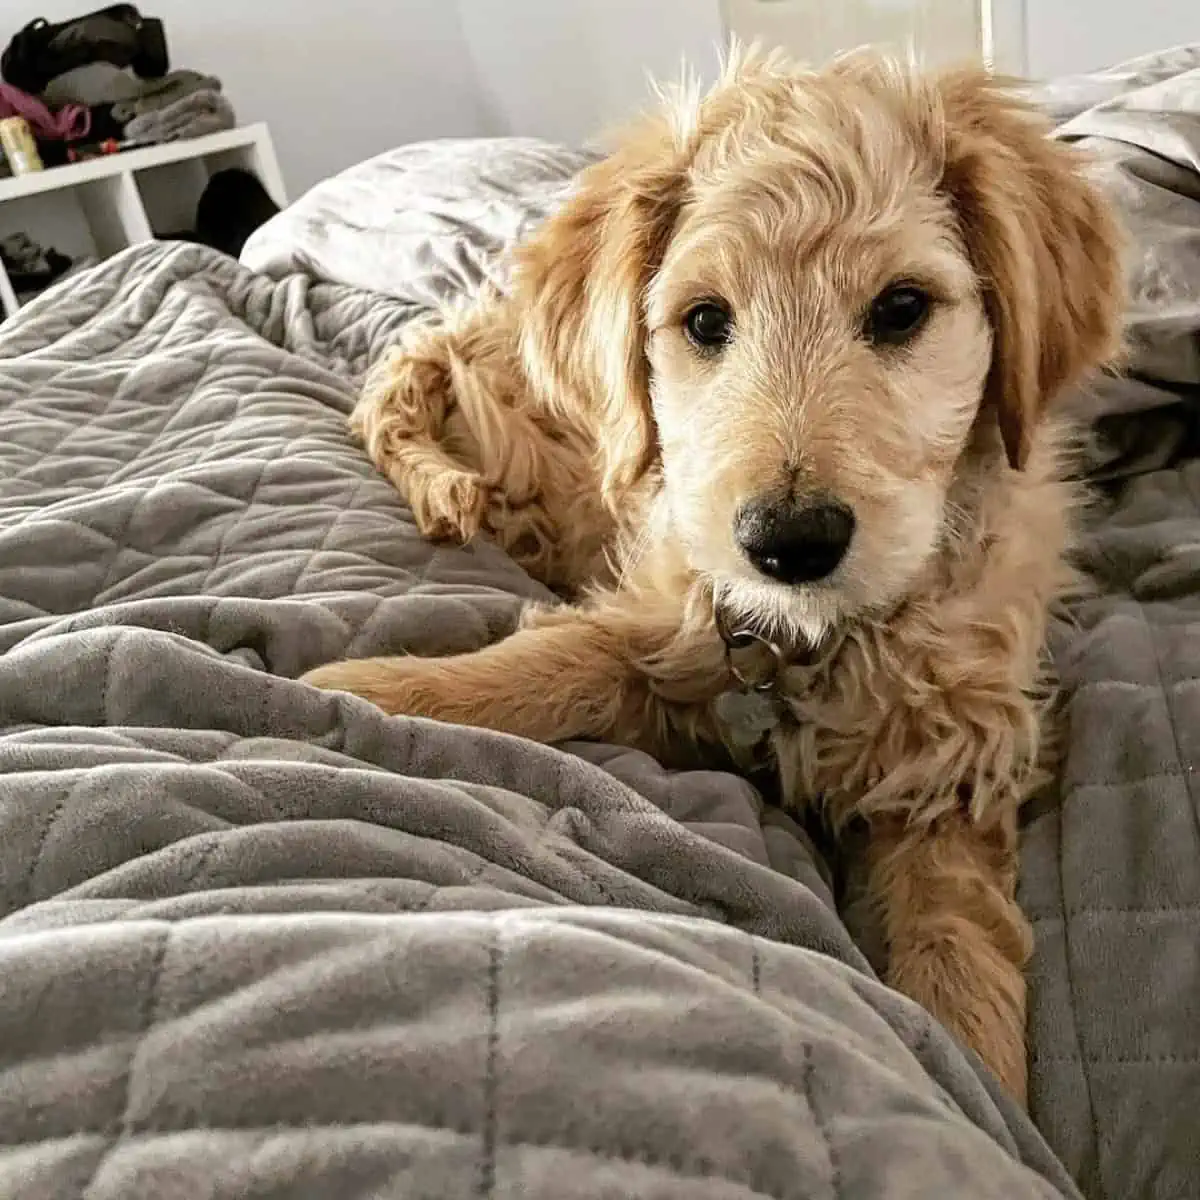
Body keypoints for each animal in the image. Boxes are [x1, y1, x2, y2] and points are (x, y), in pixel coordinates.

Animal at [302, 46, 1123, 1099]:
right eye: (704, 321)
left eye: (903, 308)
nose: (789, 541)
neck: (813, 643)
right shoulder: (669, 606)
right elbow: (554, 661)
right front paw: (362, 692)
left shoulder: (953, 761)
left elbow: (957, 937)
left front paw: (977, 1091)